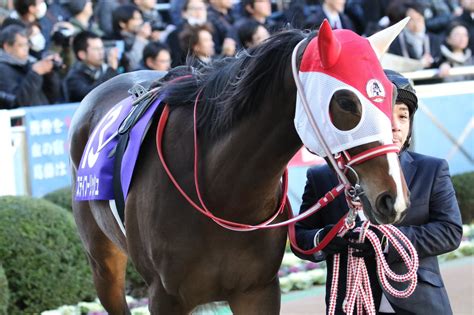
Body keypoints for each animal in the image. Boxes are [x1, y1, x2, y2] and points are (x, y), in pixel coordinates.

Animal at [69, 24, 412, 314]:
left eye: (390, 95)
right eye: (345, 101)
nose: (393, 198)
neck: (220, 189)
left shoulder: (257, 290)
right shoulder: (164, 297)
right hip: (104, 266)